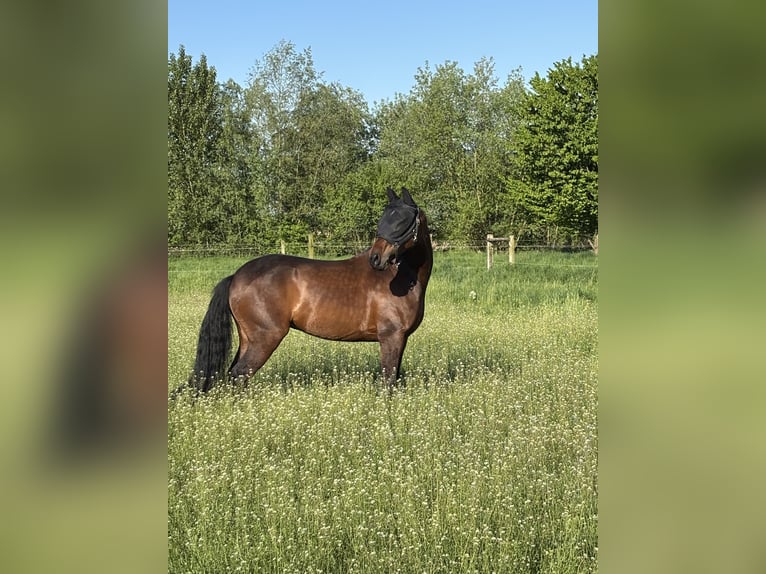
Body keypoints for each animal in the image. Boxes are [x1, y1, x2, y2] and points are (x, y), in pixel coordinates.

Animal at [184, 187, 432, 392]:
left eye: (402, 220)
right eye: (384, 218)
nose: (376, 259)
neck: (400, 278)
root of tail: (236, 276)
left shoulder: (400, 339)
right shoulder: (391, 337)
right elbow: (388, 382)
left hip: (248, 339)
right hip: (265, 339)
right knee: (239, 375)